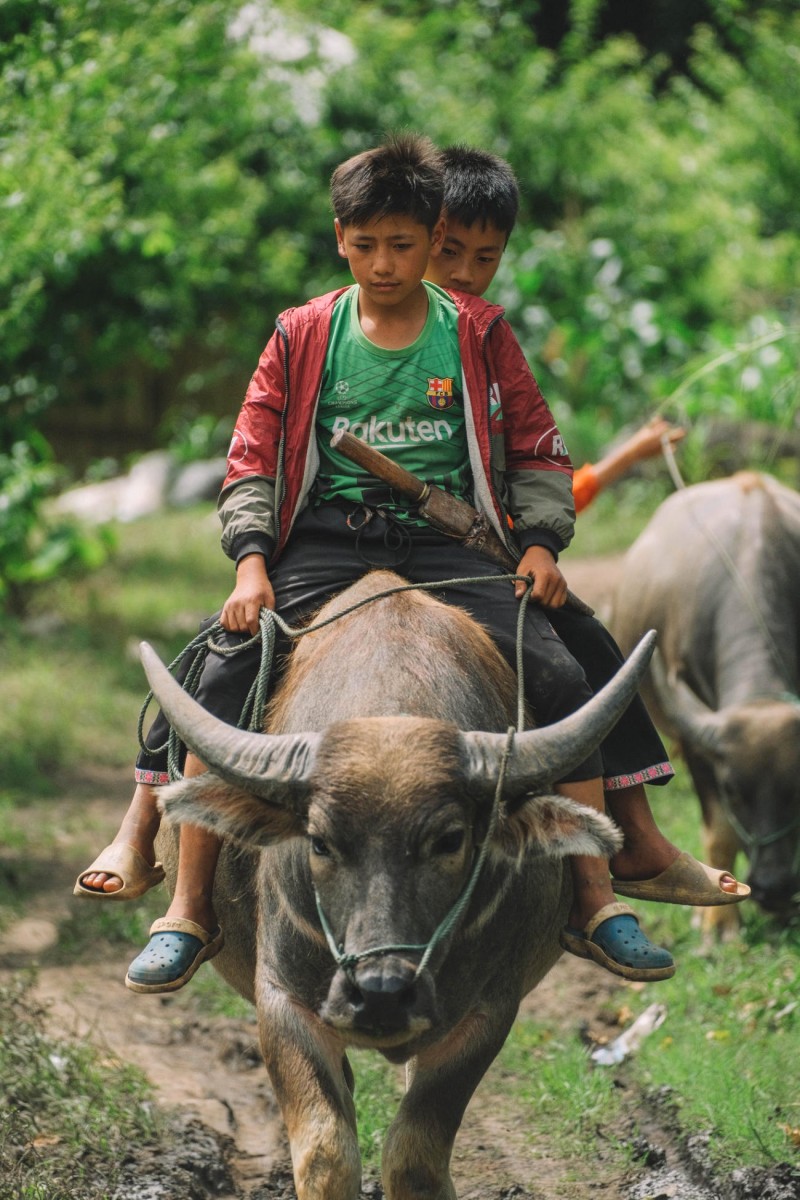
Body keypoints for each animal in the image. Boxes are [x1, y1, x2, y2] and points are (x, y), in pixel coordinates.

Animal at [143, 566, 657, 1195]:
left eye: (450, 840)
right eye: (320, 841)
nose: (381, 992)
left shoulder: (489, 1011)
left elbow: (415, 1154)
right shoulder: (281, 999)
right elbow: (326, 1151)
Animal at [614, 470, 800, 936]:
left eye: (799, 785)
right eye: (732, 788)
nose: (773, 888)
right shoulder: (699, 747)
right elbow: (720, 831)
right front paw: (718, 925)